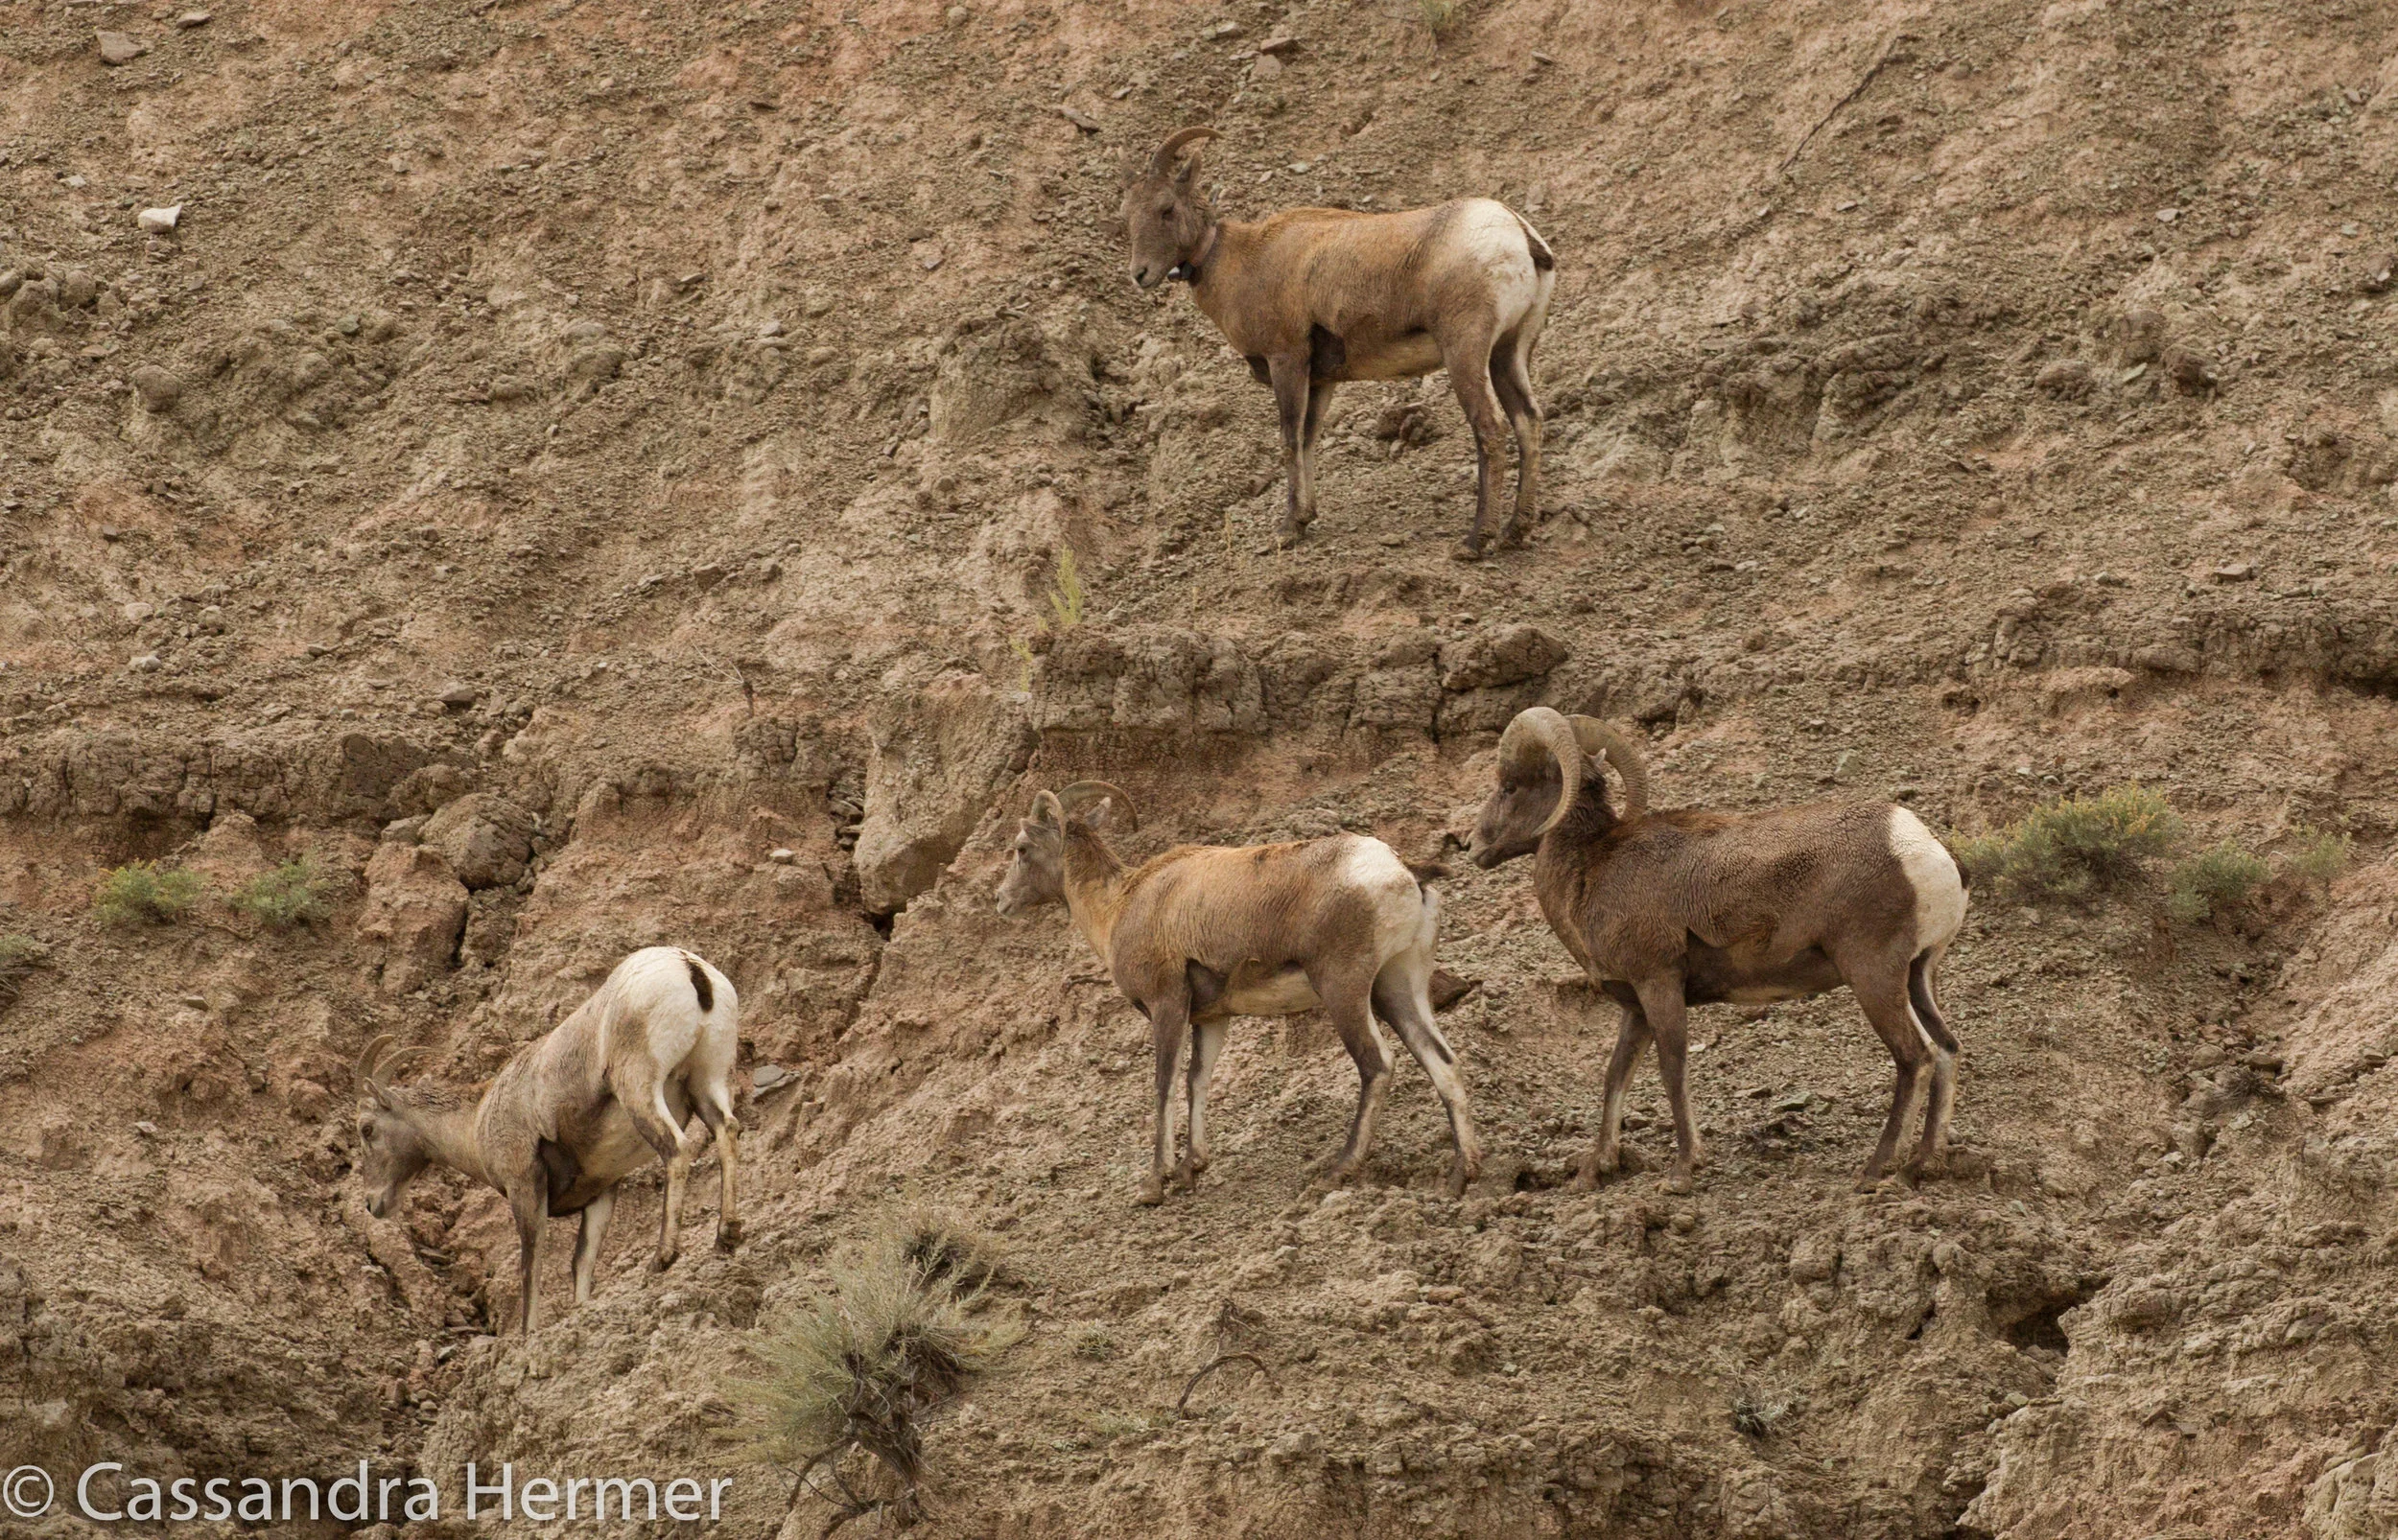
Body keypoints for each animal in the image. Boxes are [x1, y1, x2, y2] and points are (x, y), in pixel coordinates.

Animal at [352, 946, 742, 1333]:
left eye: (367, 1129)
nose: (373, 1205)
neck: (477, 1121)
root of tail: (689, 968)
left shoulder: (526, 1185)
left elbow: (531, 1265)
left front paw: (529, 1336)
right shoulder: (602, 1192)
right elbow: (582, 1263)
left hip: (639, 1087)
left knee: (677, 1148)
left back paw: (662, 1258)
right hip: (707, 1082)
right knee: (728, 1130)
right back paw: (726, 1237)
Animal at [994, 781, 1481, 1204]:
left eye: (1021, 849)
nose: (1001, 901)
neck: (1117, 906)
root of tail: (1404, 872)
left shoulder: (1167, 1005)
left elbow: (1164, 1084)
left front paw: (1155, 1184)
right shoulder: (1212, 1018)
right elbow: (1197, 1080)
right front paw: (1191, 1170)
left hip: (1343, 988)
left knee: (1377, 1064)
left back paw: (1337, 1171)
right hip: (1396, 986)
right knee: (1443, 1062)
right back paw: (1461, 1177)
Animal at [1121, 126, 1557, 562]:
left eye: (1166, 209)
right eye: (1127, 215)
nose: (1139, 275)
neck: (1241, 261)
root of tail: (1519, 234)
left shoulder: (1287, 360)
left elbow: (1289, 439)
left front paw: (1286, 531)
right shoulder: (1322, 379)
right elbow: (1308, 439)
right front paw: (1304, 519)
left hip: (1465, 352)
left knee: (1490, 427)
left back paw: (1475, 540)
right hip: (1509, 353)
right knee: (1528, 421)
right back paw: (1515, 531)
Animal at [1466, 708, 1969, 1194]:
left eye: (1510, 786)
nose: (1471, 846)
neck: (1590, 869)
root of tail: (1923, 849)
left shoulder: (1659, 984)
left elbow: (1672, 1068)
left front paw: (1682, 1173)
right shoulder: (1635, 1006)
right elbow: (1615, 1076)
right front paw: (1593, 1172)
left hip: (1873, 975)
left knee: (1916, 1057)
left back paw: (1875, 1172)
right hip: (1918, 975)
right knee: (1947, 1049)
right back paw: (1921, 1166)